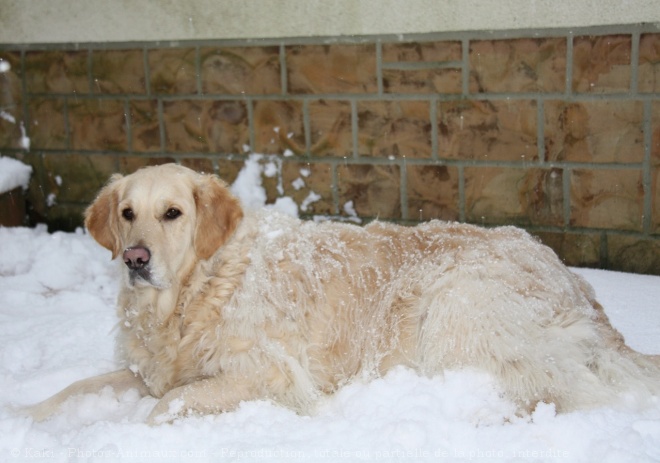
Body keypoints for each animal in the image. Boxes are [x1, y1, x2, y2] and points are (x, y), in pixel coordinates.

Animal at [28, 163, 660, 424]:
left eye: (172, 213)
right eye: (127, 213)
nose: (135, 259)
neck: (197, 292)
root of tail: (573, 277)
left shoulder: (268, 374)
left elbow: (164, 407)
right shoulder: (148, 371)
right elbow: (78, 389)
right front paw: (27, 414)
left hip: (458, 307)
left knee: (557, 392)